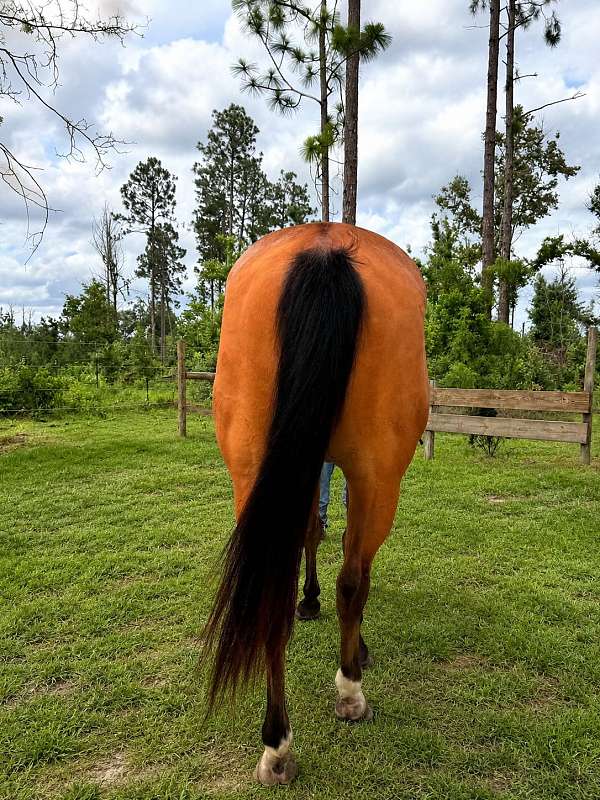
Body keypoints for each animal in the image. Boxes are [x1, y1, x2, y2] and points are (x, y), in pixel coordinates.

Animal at [203, 222, 429, 785]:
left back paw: (276, 746)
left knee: (276, 590)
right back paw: (349, 692)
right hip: (378, 478)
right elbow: (348, 561)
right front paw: (349, 646)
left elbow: (312, 534)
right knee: (353, 577)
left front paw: (309, 602)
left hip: (253, 472)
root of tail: (325, 245)